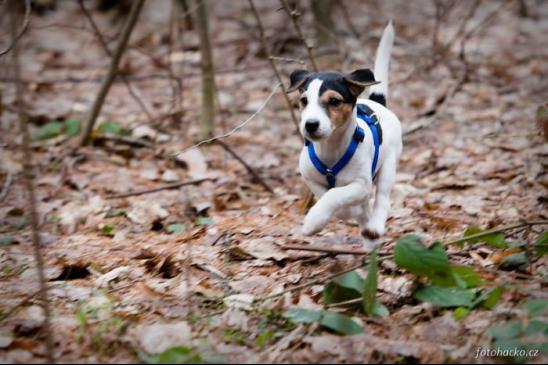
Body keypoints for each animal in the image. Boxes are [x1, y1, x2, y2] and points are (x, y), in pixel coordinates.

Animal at [286, 21, 402, 250]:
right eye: (304, 101)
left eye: (334, 101)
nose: (310, 125)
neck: (331, 149)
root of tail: (377, 102)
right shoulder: (309, 176)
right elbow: (326, 195)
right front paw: (335, 214)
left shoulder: (361, 184)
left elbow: (336, 194)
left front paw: (314, 220)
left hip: (389, 166)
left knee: (382, 199)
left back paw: (374, 225)